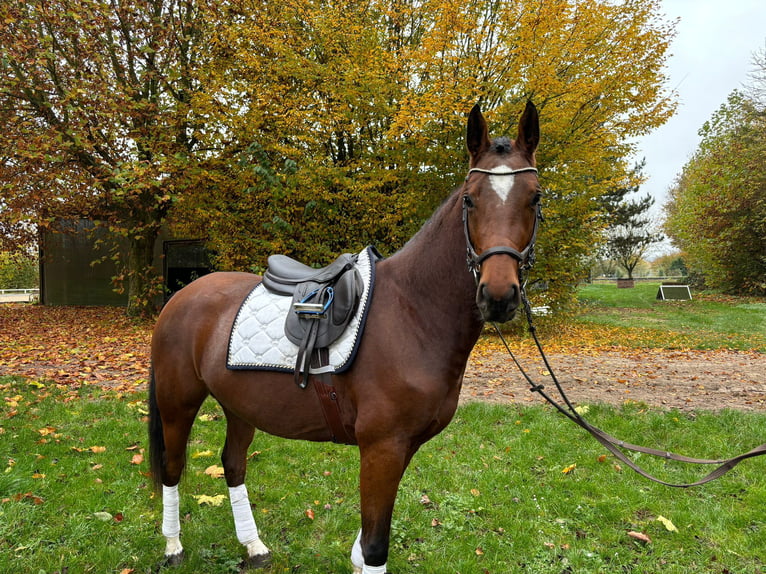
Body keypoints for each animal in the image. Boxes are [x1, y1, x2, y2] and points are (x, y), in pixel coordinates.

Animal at [150, 101, 544, 572]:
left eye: (535, 197)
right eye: (470, 199)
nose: (499, 296)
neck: (413, 313)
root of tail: (182, 294)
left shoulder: (401, 449)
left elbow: (364, 543)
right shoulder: (382, 447)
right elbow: (375, 547)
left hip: (239, 404)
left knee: (233, 464)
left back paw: (253, 546)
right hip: (178, 402)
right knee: (172, 468)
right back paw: (172, 546)